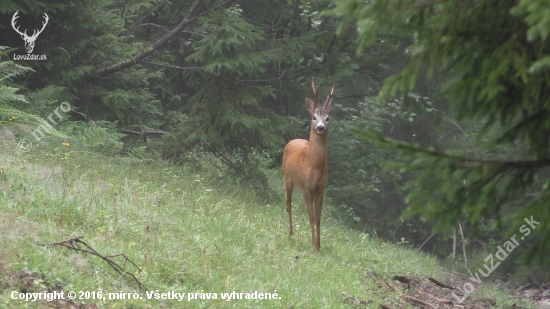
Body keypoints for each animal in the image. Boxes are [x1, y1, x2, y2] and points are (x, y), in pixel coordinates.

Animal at [284, 78, 336, 249]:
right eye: (314, 117)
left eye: (328, 118)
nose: (320, 127)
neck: (314, 167)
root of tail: (292, 140)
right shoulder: (306, 188)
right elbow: (311, 217)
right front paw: (313, 245)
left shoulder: (320, 190)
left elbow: (318, 218)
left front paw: (318, 245)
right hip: (287, 178)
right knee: (288, 203)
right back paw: (291, 233)